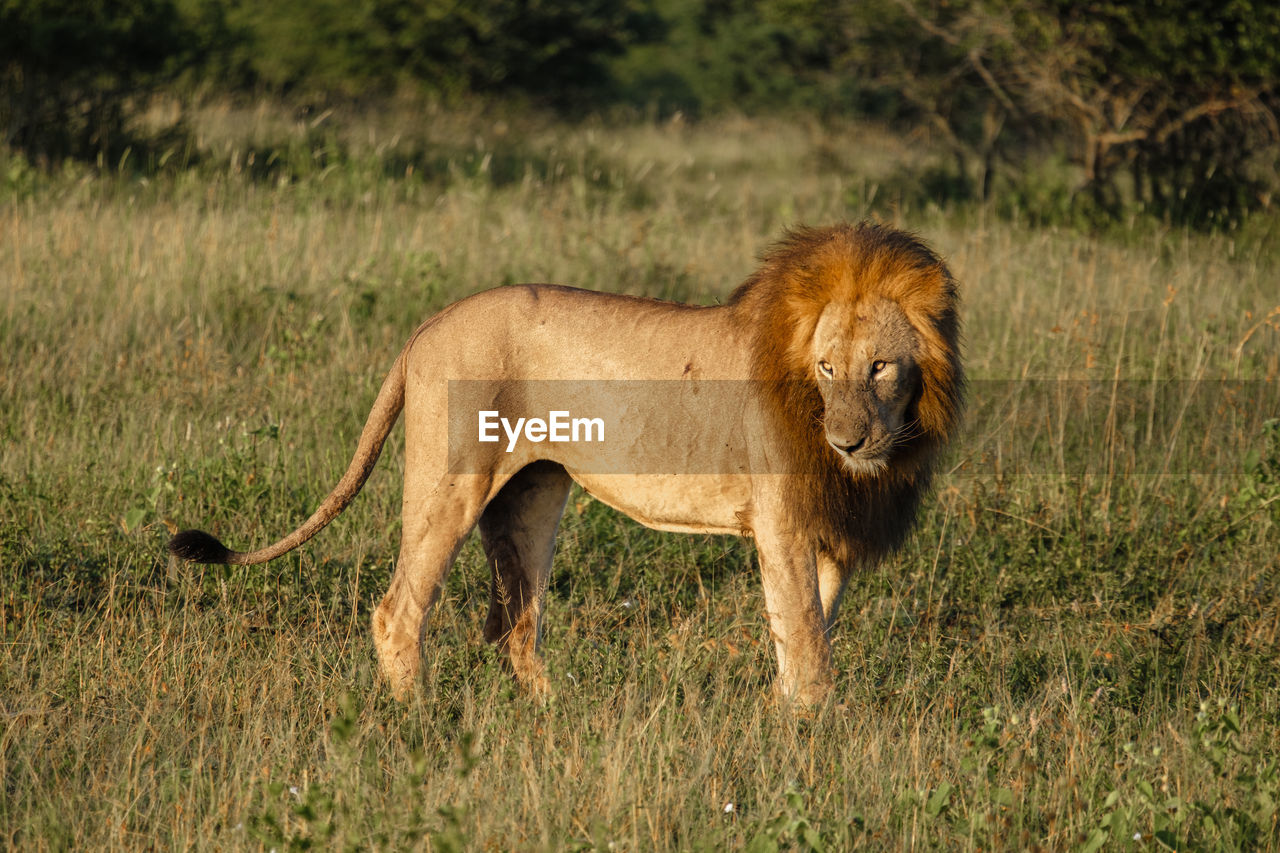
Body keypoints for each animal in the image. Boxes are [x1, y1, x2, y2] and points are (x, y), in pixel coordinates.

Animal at [175, 220, 962, 701]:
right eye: (827, 368)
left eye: (881, 367)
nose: (846, 442)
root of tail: (427, 325)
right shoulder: (782, 521)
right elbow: (805, 637)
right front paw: (813, 730)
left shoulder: (828, 532)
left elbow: (808, 627)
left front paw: (782, 713)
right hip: (451, 483)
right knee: (398, 610)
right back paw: (421, 715)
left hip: (530, 496)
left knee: (515, 623)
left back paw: (555, 711)